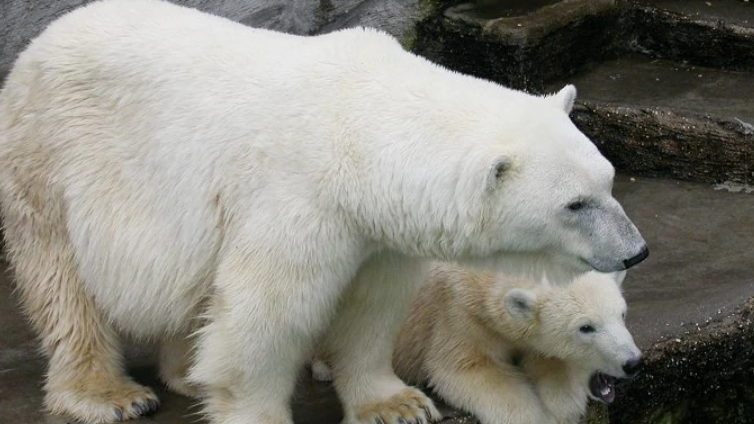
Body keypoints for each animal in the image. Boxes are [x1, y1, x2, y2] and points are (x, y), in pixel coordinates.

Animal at [0, 0, 648, 424]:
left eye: (609, 179)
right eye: (574, 204)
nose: (636, 251)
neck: (360, 126)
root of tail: (42, 40)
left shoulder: (378, 228)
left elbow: (372, 307)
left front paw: (398, 404)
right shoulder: (300, 196)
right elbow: (269, 312)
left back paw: (183, 369)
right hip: (52, 156)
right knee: (62, 283)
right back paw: (109, 394)